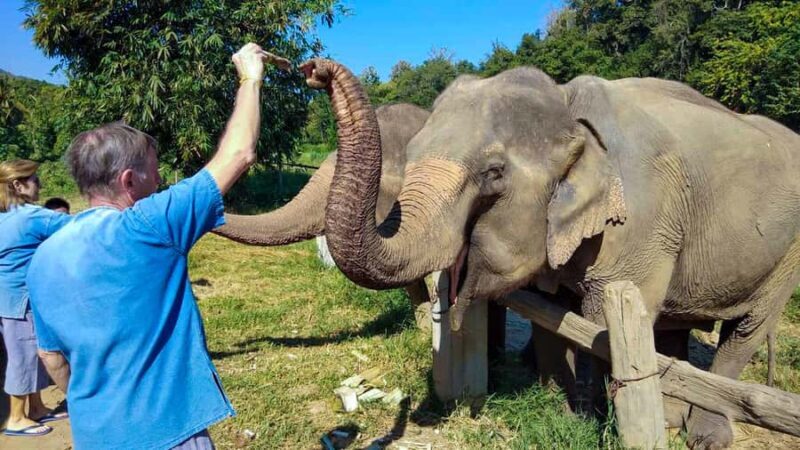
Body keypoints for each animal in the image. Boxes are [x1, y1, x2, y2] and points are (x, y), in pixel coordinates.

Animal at [298, 58, 800, 449]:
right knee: (673, 327)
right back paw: (673, 415)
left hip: (786, 256)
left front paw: (586, 418)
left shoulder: (641, 222)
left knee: (744, 333)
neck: (567, 103)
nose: (312, 69)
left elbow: (599, 321)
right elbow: (551, 313)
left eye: (494, 173)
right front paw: (564, 406)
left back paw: (704, 434)